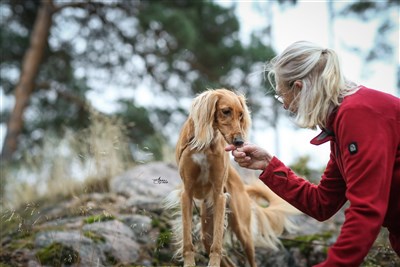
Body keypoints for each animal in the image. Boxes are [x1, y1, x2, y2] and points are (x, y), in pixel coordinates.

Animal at [166, 89, 296, 266]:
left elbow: (217, 246)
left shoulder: (219, 195)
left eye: (241, 115)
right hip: (207, 222)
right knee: (212, 246)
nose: (240, 142)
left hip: (242, 229)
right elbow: (188, 240)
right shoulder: (187, 193)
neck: (205, 145)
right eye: (226, 111)